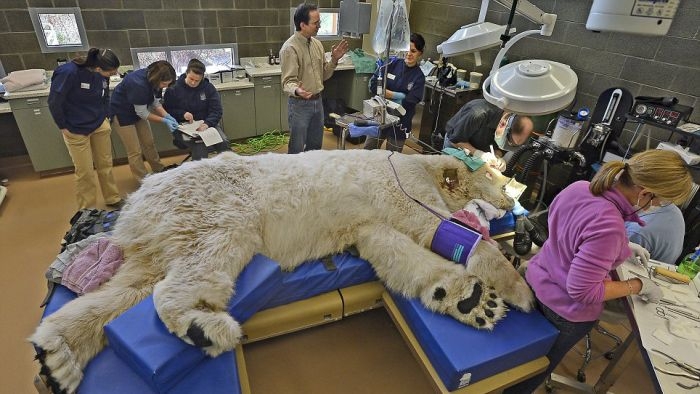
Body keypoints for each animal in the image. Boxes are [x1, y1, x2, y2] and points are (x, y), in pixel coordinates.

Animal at [28, 149, 532, 392]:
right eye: (496, 176)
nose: (514, 202)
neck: (416, 162)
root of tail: (137, 199)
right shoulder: (403, 188)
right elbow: (437, 230)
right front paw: (517, 289)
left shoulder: (369, 222)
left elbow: (390, 250)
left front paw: (472, 300)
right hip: (214, 206)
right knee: (200, 261)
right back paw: (202, 327)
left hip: (158, 234)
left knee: (128, 286)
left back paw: (57, 358)